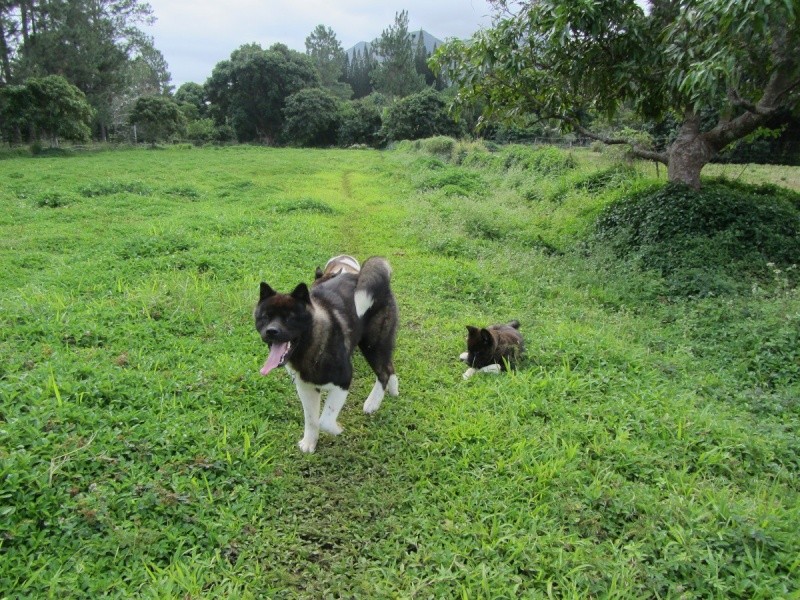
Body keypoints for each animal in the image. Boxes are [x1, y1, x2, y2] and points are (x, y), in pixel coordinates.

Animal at [255, 255, 398, 452]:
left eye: (290, 318)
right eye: (265, 317)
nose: (271, 331)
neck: (312, 345)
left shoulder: (343, 382)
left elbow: (324, 420)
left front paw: (337, 429)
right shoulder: (305, 388)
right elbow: (312, 420)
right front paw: (310, 442)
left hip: (373, 344)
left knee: (383, 372)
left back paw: (373, 403)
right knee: (389, 367)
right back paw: (394, 390)